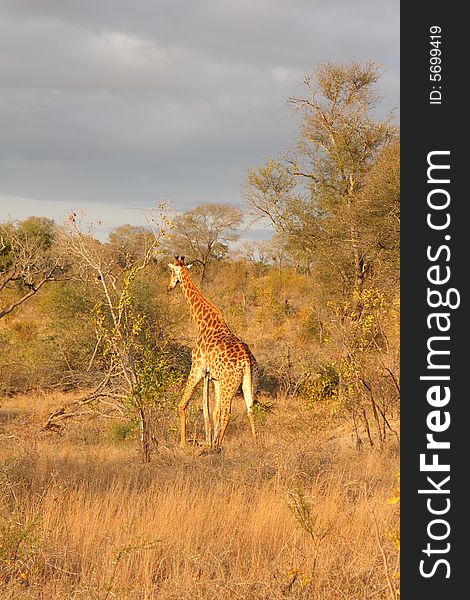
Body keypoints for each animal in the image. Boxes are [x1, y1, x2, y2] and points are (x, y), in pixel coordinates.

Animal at [168, 255, 258, 448]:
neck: (201, 321)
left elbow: (183, 404)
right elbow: (213, 412)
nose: (169, 286)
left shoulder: (197, 367)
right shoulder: (215, 378)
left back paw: (218, 446)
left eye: (171, 271)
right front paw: (209, 440)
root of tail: (247, 360)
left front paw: (183, 444)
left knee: (227, 412)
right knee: (250, 409)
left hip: (229, 384)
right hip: (248, 382)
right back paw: (255, 444)